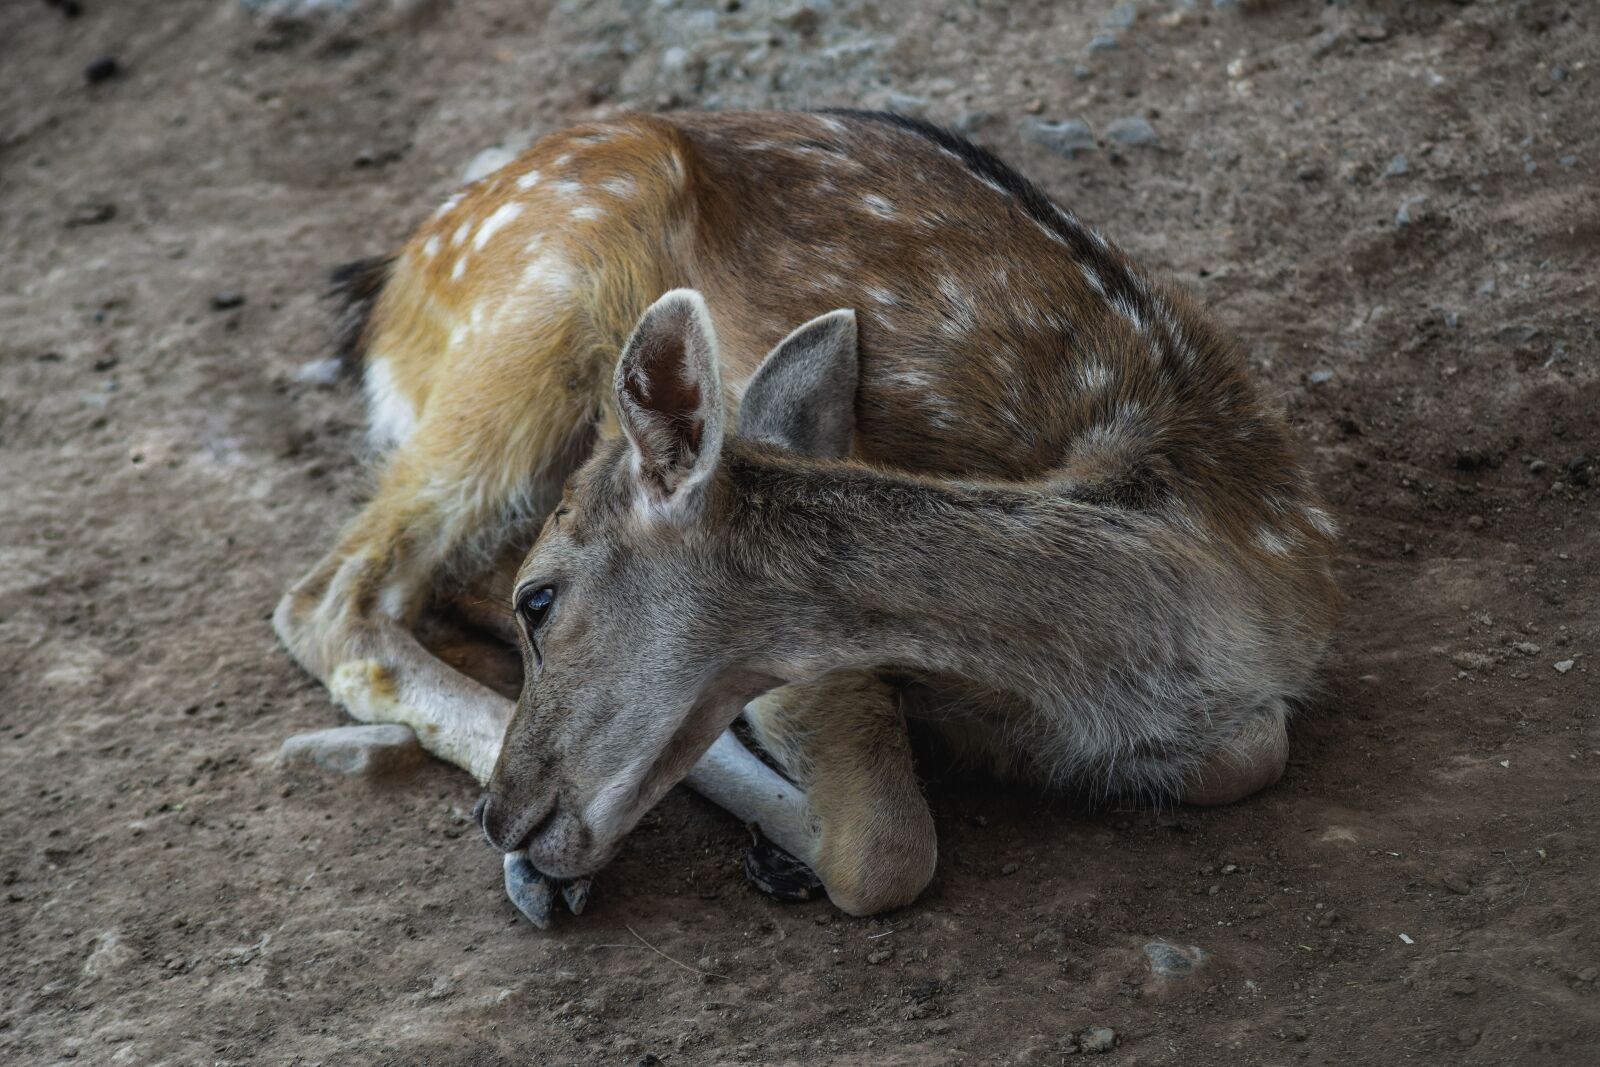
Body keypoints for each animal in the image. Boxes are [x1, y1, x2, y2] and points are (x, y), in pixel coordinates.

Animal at [274, 110, 1339, 926]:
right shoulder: (815, 665)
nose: (502, 815)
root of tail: (390, 287)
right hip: (527, 329)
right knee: (330, 597)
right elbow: (886, 846)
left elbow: (1250, 754)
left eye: (545, 601)